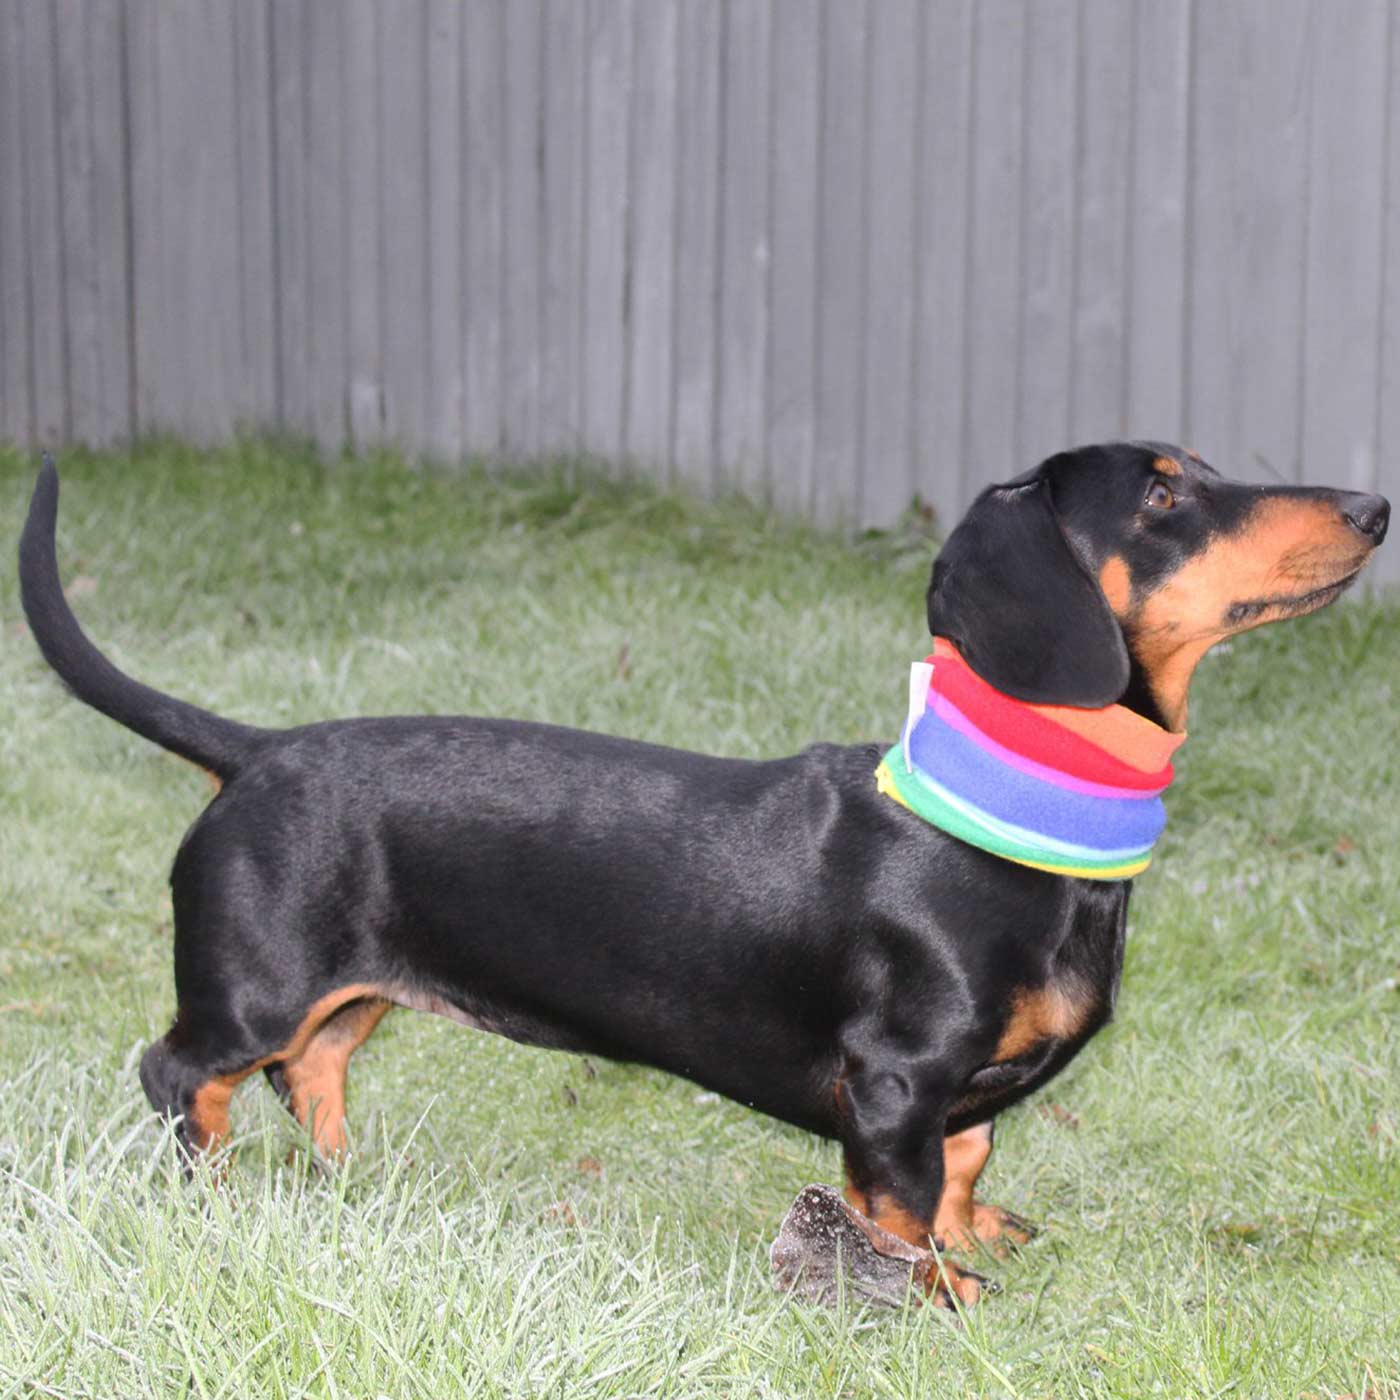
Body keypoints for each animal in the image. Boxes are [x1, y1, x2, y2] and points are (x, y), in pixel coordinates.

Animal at [19, 443, 1388, 1308]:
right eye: (1161, 491)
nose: (1373, 505)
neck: (1007, 815)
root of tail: (256, 748)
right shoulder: (893, 1080)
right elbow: (899, 1205)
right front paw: (933, 1287)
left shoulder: (951, 1097)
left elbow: (969, 1156)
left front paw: (973, 1231)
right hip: (250, 986)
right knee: (183, 1073)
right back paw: (213, 1189)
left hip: (346, 990)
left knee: (315, 1067)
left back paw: (355, 1180)